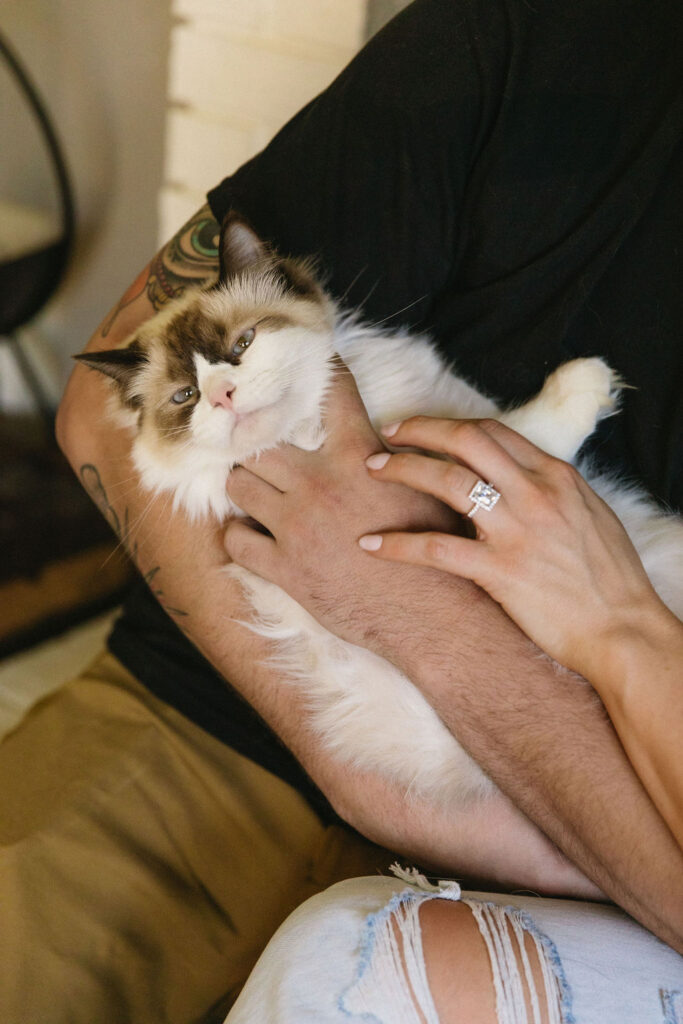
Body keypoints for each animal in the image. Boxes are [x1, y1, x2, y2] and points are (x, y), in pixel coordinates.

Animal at [77, 214, 683, 806]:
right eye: (185, 398)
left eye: (243, 344)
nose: (223, 395)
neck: (307, 435)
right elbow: (508, 434)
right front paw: (589, 383)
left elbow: (486, 433)